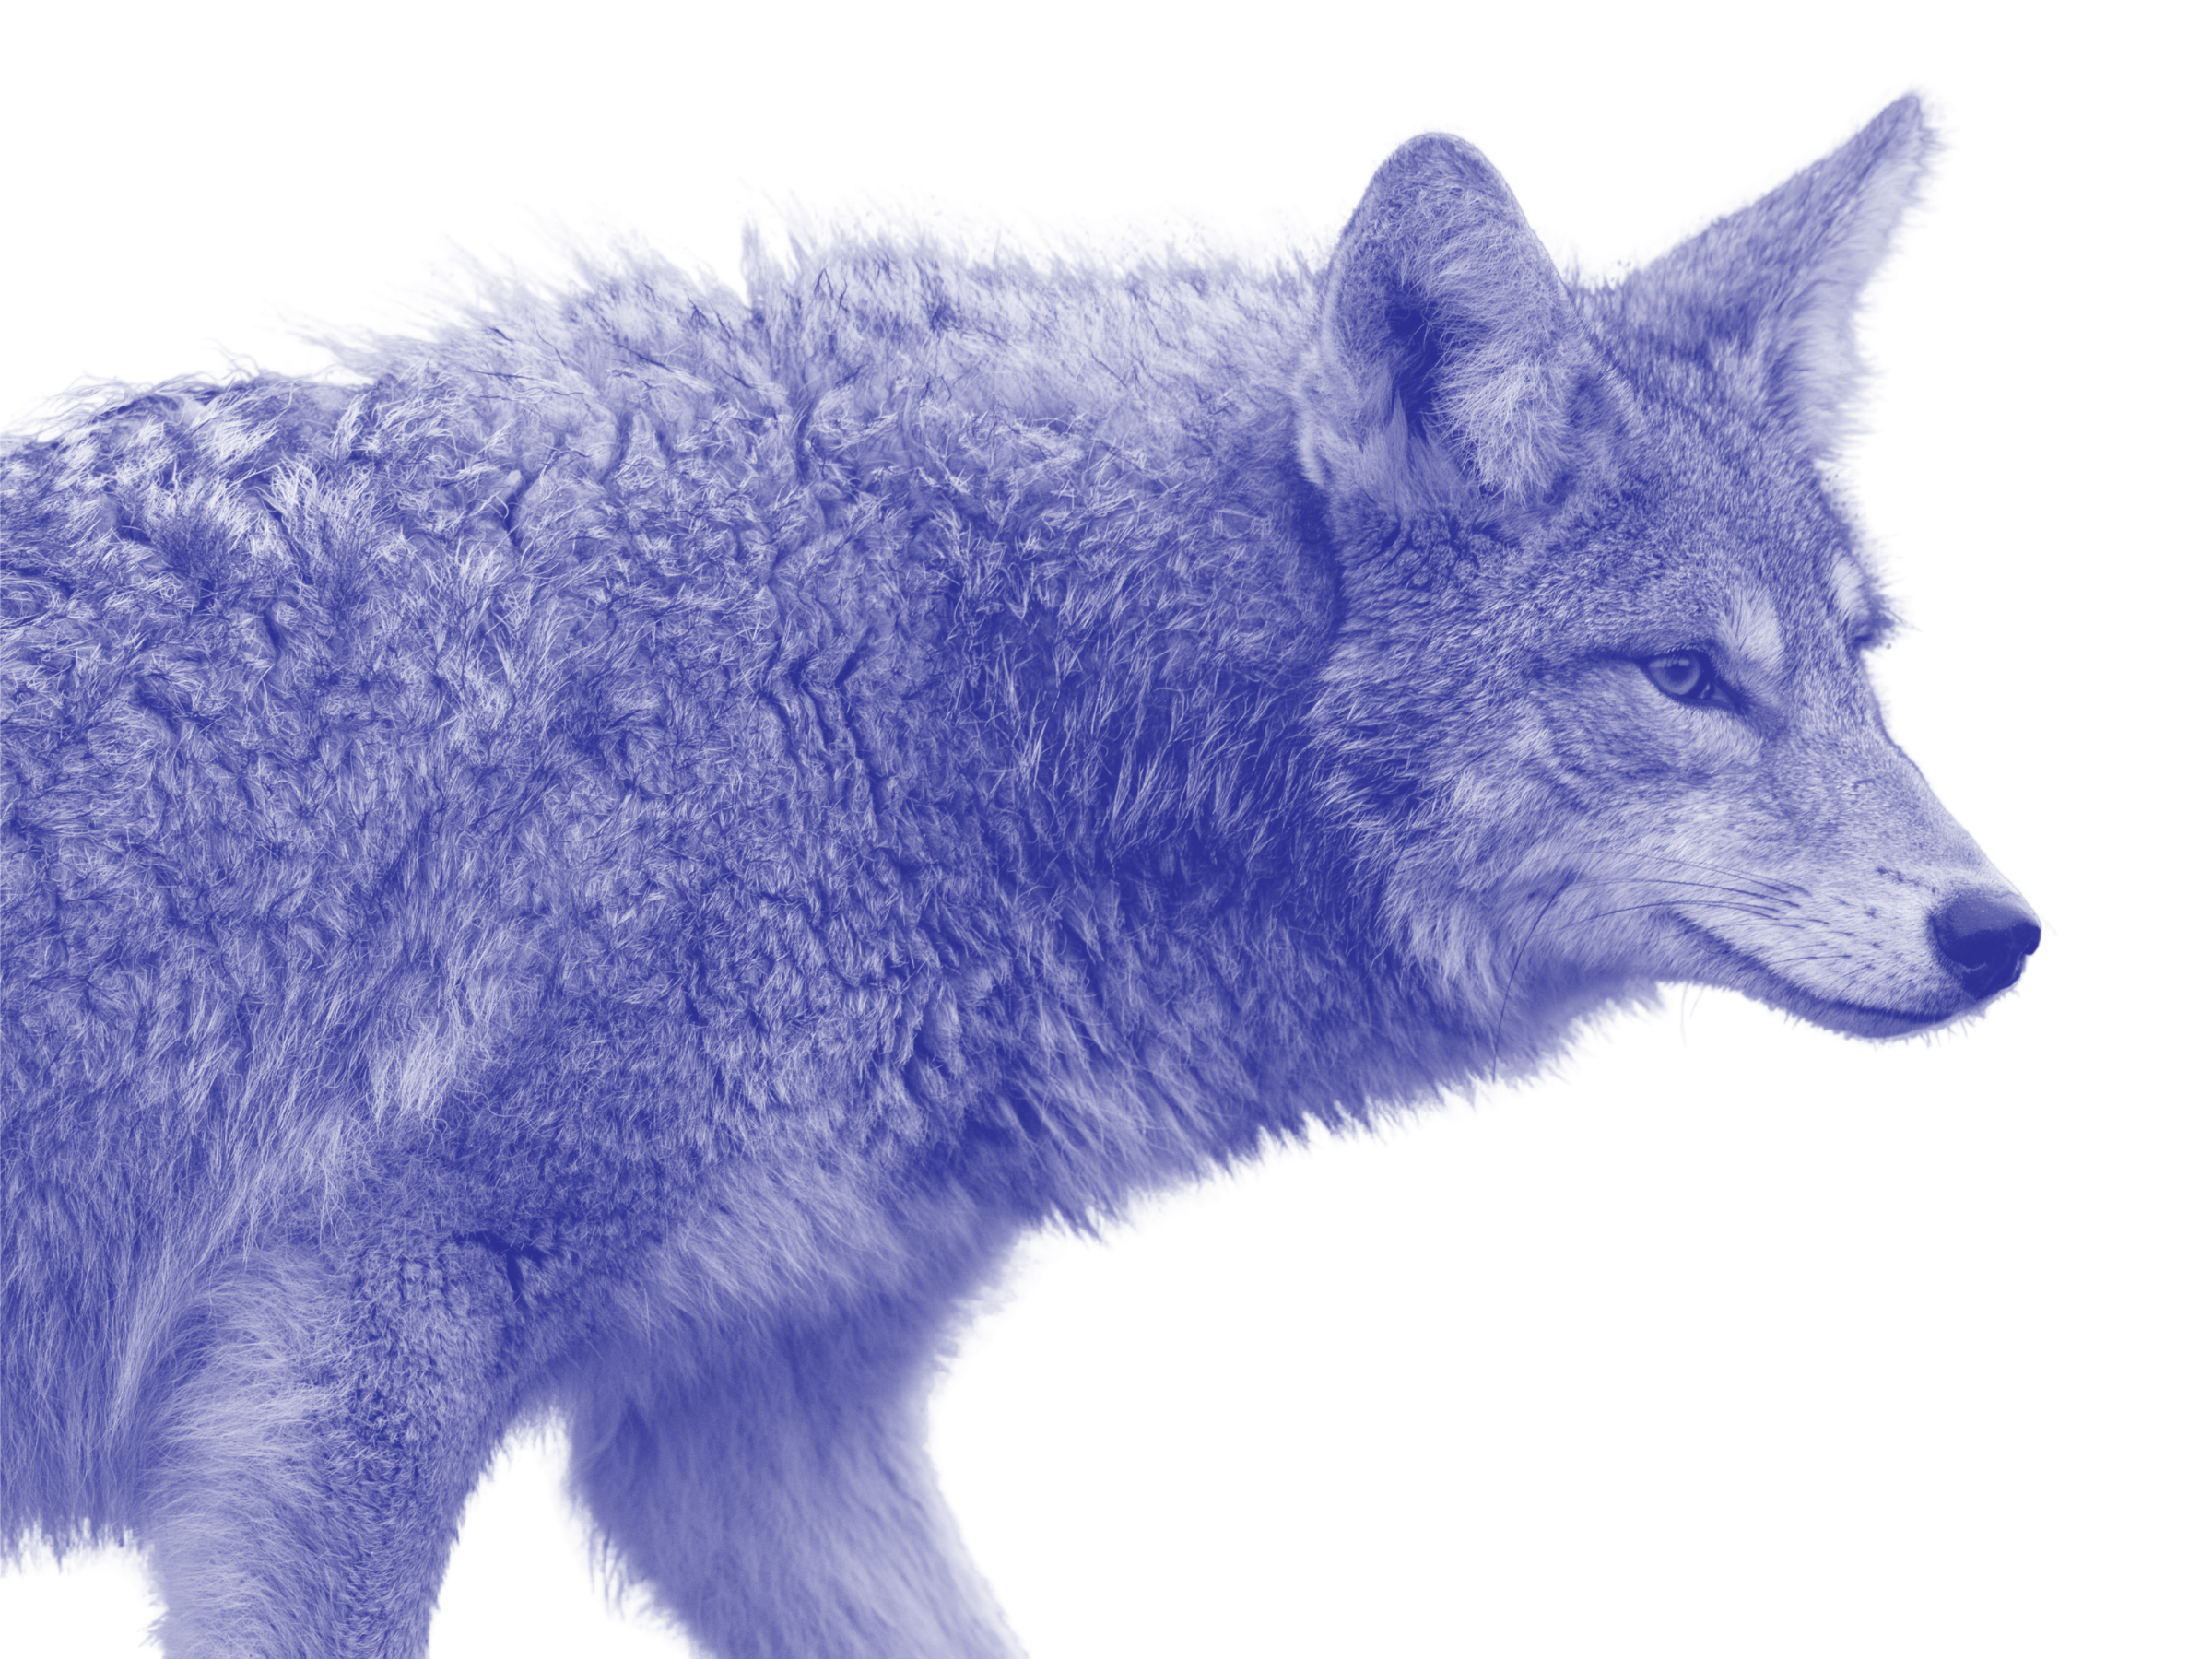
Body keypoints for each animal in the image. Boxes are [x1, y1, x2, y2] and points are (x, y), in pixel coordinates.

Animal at [0, 79, 2046, 1657]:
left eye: (1867, 664)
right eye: (1687, 677)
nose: (2001, 932)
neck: (949, 693)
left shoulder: (751, 1446)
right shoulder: (351, 1352)